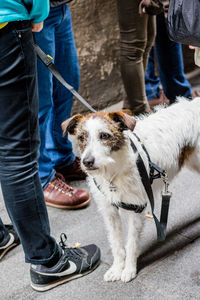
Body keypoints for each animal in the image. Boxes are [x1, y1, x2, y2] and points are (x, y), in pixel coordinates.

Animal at [61, 97, 200, 282]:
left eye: (104, 135)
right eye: (81, 137)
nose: (87, 162)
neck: (113, 171)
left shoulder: (137, 208)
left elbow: (132, 242)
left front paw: (128, 269)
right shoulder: (109, 211)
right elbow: (116, 243)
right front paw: (117, 268)